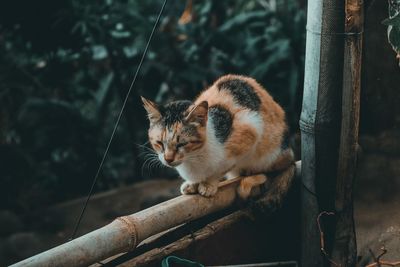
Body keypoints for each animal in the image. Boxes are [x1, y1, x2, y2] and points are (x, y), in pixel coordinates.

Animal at [142, 74, 296, 200]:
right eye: (159, 143)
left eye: (182, 144)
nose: (168, 159)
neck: (194, 158)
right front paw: (192, 184)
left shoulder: (251, 127)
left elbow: (221, 168)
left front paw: (208, 185)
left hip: (271, 153)